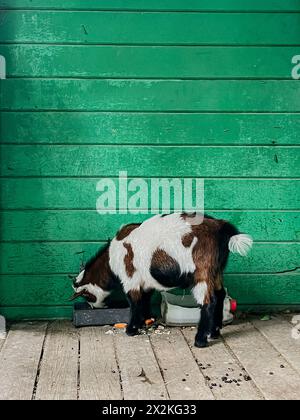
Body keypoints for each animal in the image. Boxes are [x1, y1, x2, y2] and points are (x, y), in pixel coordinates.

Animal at [71, 213, 252, 348]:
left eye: (86, 295)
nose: (93, 307)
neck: (111, 260)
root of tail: (221, 227)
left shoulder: (130, 279)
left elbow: (134, 302)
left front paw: (131, 329)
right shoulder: (145, 282)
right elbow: (144, 300)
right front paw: (143, 321)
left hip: (202, 271)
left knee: (209, 301)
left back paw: (200, 340)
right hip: (216, 271)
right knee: (220, 295)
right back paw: (214, 332)